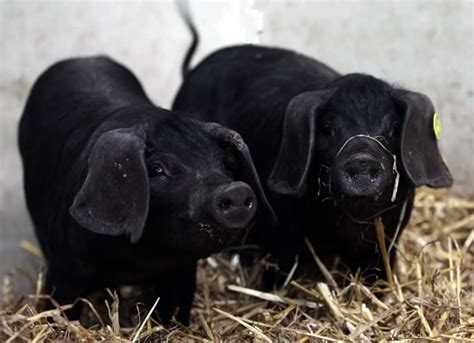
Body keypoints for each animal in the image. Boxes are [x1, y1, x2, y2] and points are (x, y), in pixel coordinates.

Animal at [19, 56, 274, 326]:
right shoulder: (64, 268)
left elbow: (175, 312)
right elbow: (58, 310)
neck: (138, 258)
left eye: (225, 164)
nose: (235, 189)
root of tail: (83, 58)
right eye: (157, 168)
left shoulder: (183, 271)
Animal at [173, 37, 452, 286]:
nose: (362, 161)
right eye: (327, 128)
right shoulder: (281, 234)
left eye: (394, 127)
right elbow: (279, 273)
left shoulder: (388, 237)